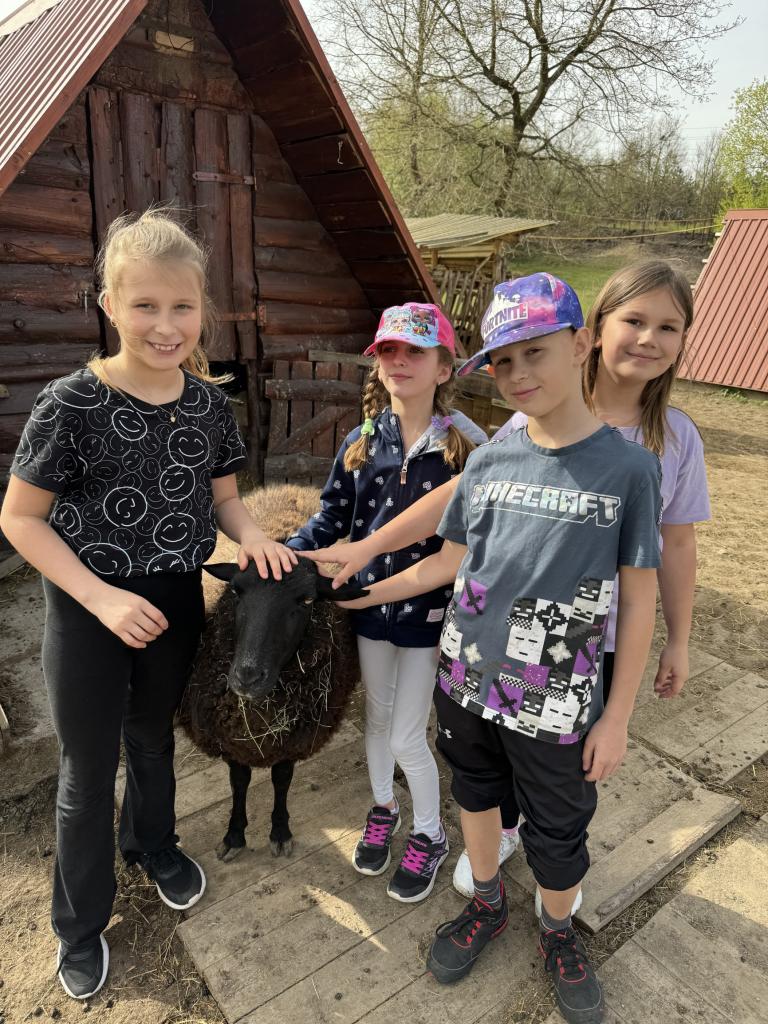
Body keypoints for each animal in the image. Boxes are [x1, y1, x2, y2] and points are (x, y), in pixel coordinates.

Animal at [178, 484, 367, 861]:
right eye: (236, 590)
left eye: (306, 601)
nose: (247, 678)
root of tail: (294, 486)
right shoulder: (232, 742)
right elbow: (239, 781)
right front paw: (235, 834)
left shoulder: (294, 738)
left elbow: (282, 778)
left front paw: (280, 830)